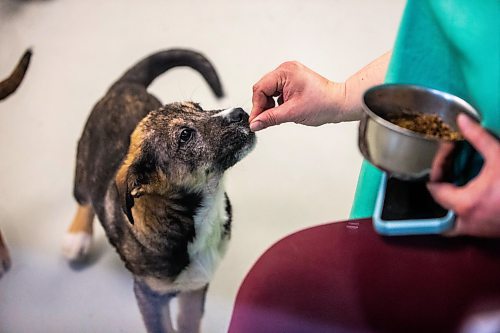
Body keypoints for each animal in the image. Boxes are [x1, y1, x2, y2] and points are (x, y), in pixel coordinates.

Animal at [62, 49, 256, 332]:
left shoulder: (195, 286)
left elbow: (188, 322)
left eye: (199, 108)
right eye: (185, 135)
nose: (241, 113)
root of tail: (125, 85)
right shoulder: (150, 295)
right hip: (84, 157)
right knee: (84, 197)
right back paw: (77, 238)